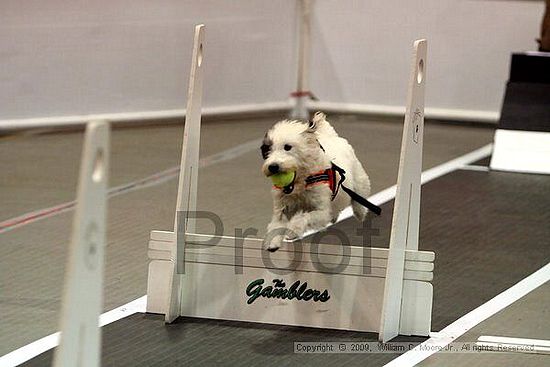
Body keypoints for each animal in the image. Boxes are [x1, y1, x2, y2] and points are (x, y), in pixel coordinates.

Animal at [260, 111, 374, 250]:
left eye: (287, 147)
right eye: (267, 150)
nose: (273, 166)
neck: (301, 183)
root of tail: (332, 136)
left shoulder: (321, 211)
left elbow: (304, 217)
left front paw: (293, 230)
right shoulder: (281, 208)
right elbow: (276, 224)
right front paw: (272, 243)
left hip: (359, 181)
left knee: (359, 199)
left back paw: (360, 213)